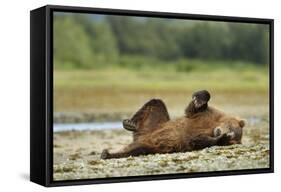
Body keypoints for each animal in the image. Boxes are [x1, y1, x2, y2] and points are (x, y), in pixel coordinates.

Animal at [101, 90, 245, 159]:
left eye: (233, 136)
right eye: (231, 128)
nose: (222, 132)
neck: (213, 125)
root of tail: (141, 136)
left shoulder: (191, 139)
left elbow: (198, 141)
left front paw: (221, 139)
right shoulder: (205, 115)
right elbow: (194, 109)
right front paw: (198, 99)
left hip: (150, 146)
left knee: (135, 150)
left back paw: (107, 154)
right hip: (154, 123)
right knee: (156, 102)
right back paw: (129, 123)